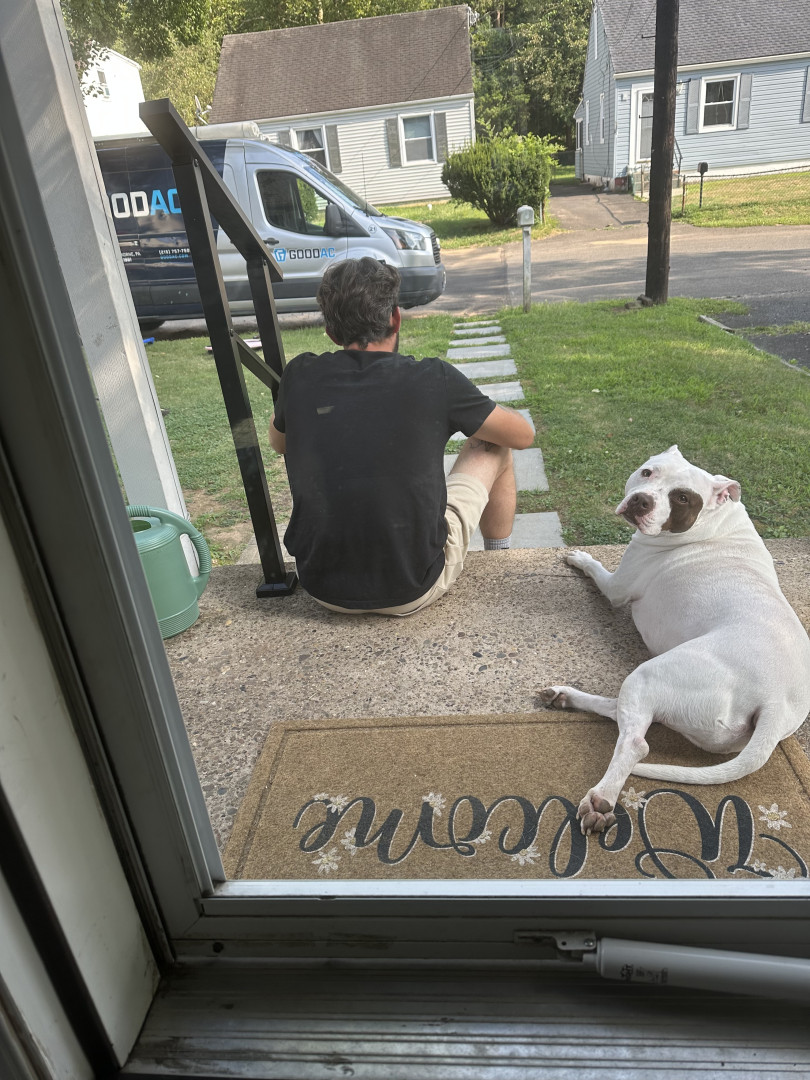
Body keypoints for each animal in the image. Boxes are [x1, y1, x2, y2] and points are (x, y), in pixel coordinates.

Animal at [541, 445, 810, 836]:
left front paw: (582, 557)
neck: (715, 522)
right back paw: (565, 697)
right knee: (625, 713)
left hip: (654, 674)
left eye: (682, 498)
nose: (641, 501)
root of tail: (774, 701)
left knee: (635, 742)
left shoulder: (616, 586)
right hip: (662, 691)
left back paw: (601, 800)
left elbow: (597, 570)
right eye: (648, 472)